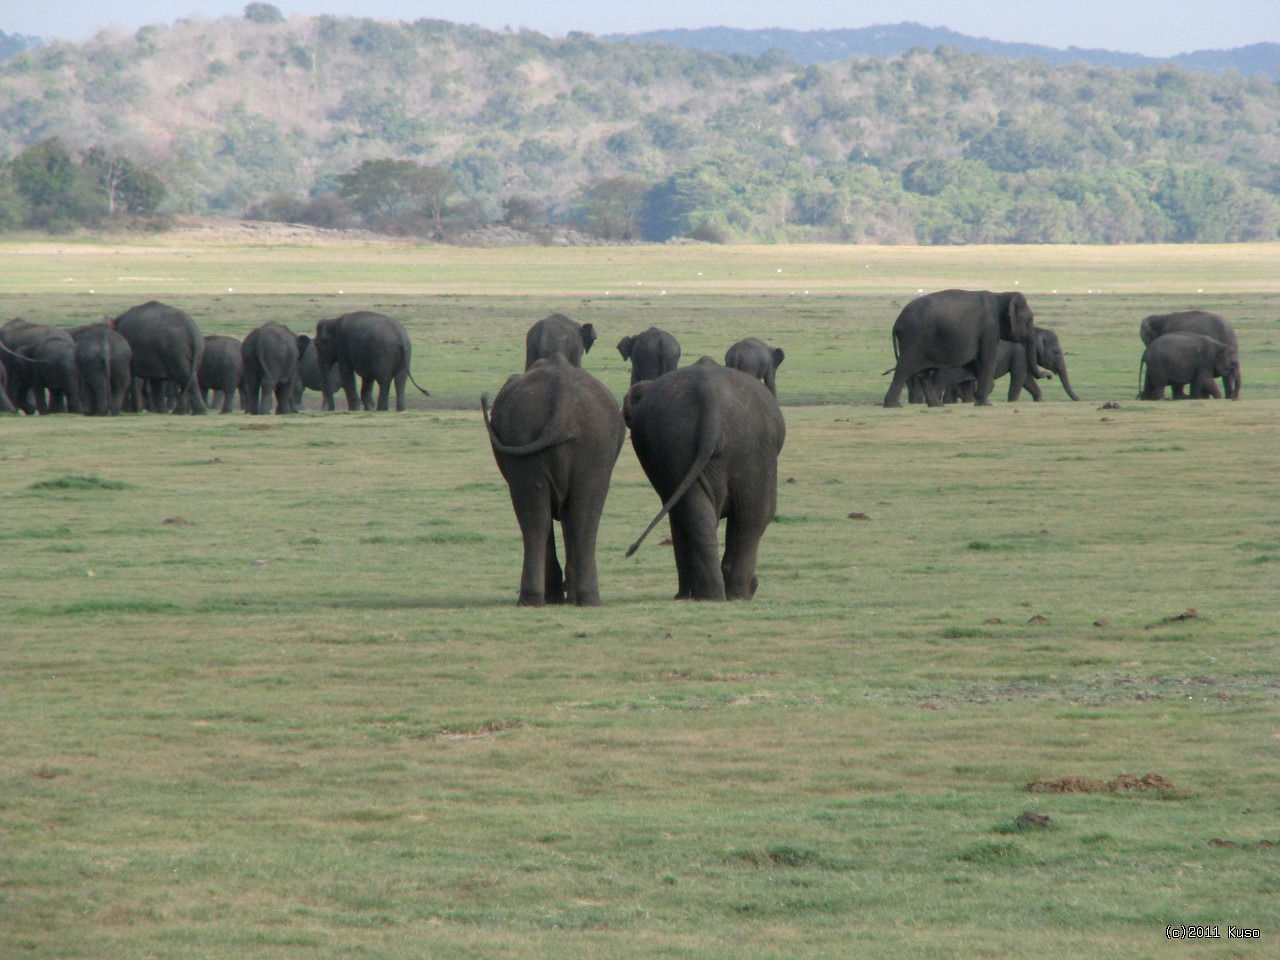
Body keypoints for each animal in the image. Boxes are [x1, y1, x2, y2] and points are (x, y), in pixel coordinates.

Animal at [481, 353, 627, 609]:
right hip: (588, 443)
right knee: (573, 517)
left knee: (544, 517)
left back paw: (545, 599)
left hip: (543, 439)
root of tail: (563, 398)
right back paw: (571, 599)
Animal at [624, 360, 783, 601]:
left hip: (702, 443)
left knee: (743, 516)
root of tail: (710, 397)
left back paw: (720, 595)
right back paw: (725, 594)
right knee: (751, 516)